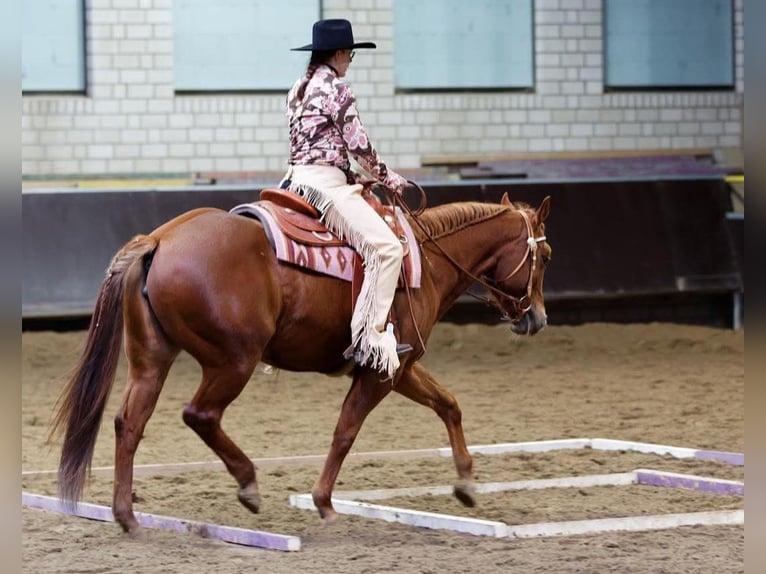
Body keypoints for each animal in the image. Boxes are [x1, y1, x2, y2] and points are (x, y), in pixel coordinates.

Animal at [49, 189, 552, 534]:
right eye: (544, 255)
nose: (538, 319)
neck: (424, 261)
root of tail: (158, 240)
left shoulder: (400, 367)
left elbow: (448, 404)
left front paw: (466, 484)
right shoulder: (381, 373)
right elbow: (346, 430)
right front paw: (324, 501)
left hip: (152, 360)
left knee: (130, 422)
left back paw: (127, 515)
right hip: (233, 362)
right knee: (200, 415)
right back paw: (248, 484)